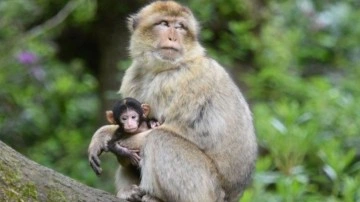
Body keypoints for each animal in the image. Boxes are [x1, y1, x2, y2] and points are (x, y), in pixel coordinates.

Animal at [87, 0, 258, 201]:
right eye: (164, 24)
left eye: (180, 27)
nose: (173, 38)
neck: (160, 70)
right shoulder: (134, 76)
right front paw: (108, 135)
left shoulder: (186, 82)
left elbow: (164, 129)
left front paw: (108, 136)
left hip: (205, 187)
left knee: (159, 139)